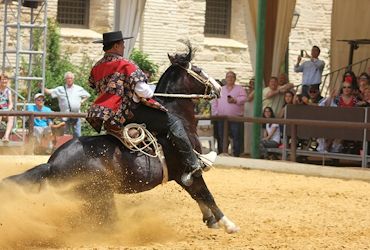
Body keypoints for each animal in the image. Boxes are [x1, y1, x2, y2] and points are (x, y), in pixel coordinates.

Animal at [2, 41, 240, 234]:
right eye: (198, 69)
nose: (219, 85)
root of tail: (52, 164)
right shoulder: (190, 168)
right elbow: (206, 194)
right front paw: (228, 224)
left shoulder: (180, 176)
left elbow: (197, 196)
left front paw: (210, 220)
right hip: (101, 196)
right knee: (108, 223)